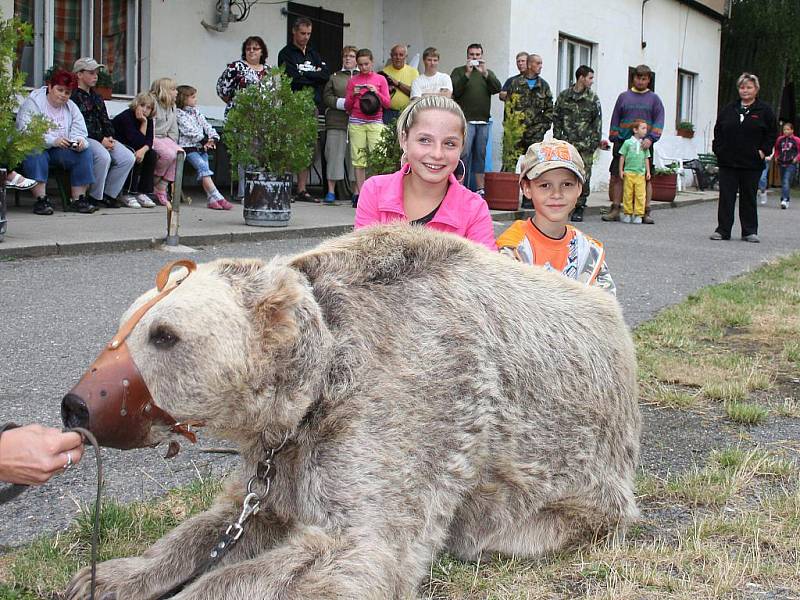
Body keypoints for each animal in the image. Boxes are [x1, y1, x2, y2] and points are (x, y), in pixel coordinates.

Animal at [64, 225, 644, 600]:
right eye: (126, 325)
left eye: (164, 334)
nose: (75, 405)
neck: (316, 387)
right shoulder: (285, 451)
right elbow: (233, 517)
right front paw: (105, 576)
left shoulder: (410, 394)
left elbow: (359, 546)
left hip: (579, 472)